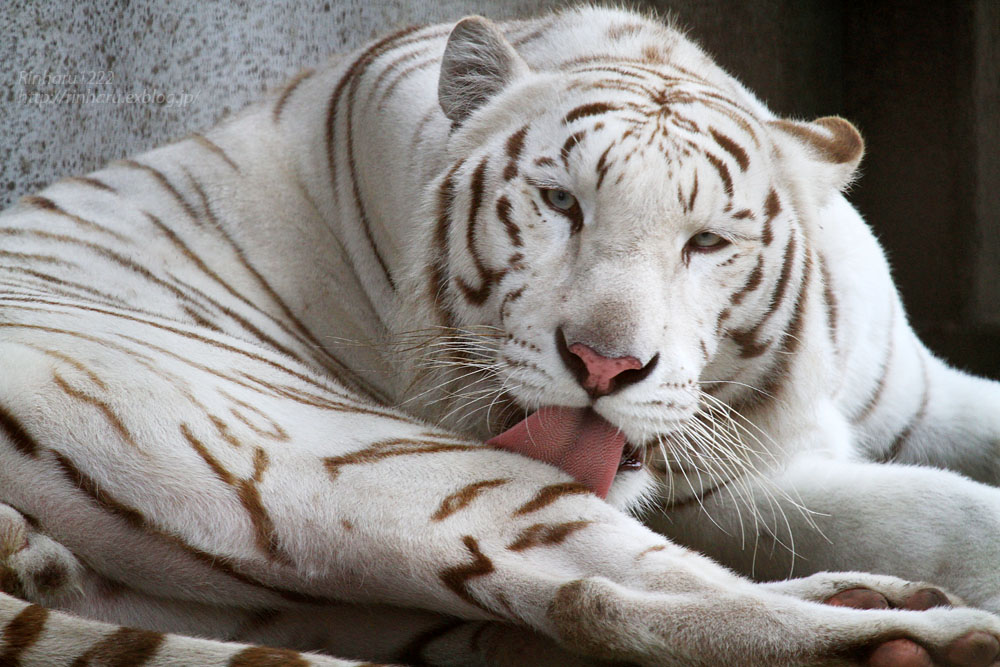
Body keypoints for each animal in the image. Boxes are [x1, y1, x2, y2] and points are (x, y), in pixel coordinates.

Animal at [1, 5, 1000, 667]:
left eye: (707, 241)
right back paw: (940, 630)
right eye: (560, 202)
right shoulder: (716, 494)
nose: (605, 363)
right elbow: (949, 513)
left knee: (577, 607)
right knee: (614, 598)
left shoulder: (921, 394)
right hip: (385, 464)